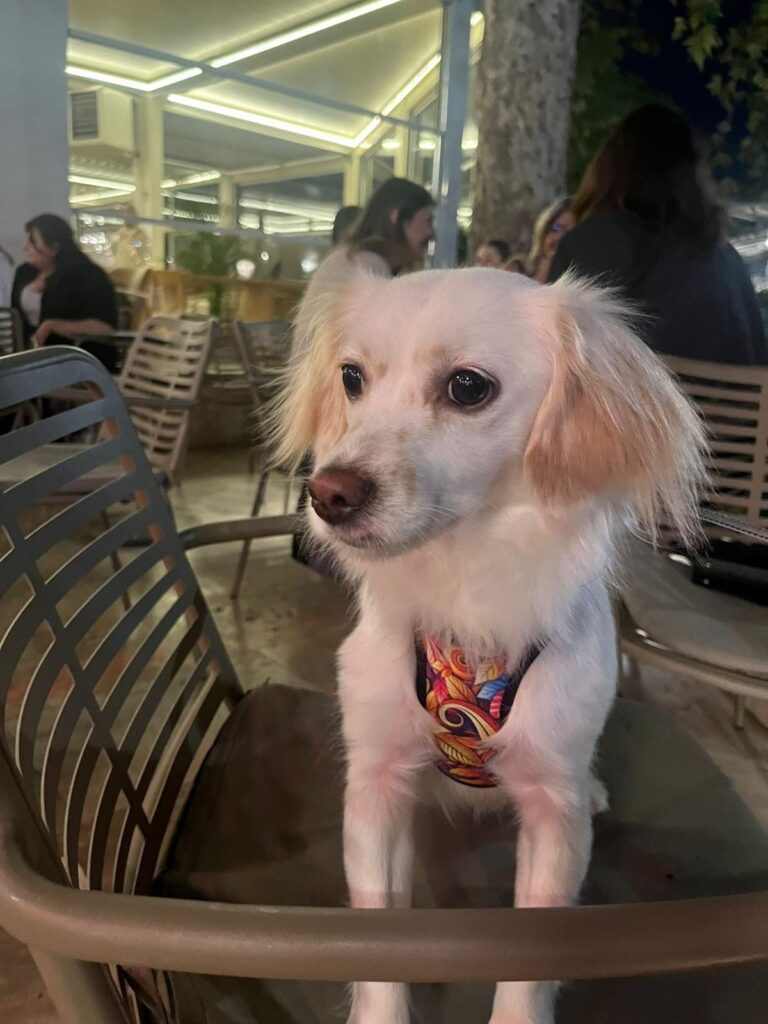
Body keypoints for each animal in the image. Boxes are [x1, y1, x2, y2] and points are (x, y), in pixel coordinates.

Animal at [272, 268, 706, 1024]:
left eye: (468, 387)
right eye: (352, 378)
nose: (327, 493)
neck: (464, 594)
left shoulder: (553, 814)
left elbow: (526, 975)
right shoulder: (377, 785)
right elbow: (377, 951)